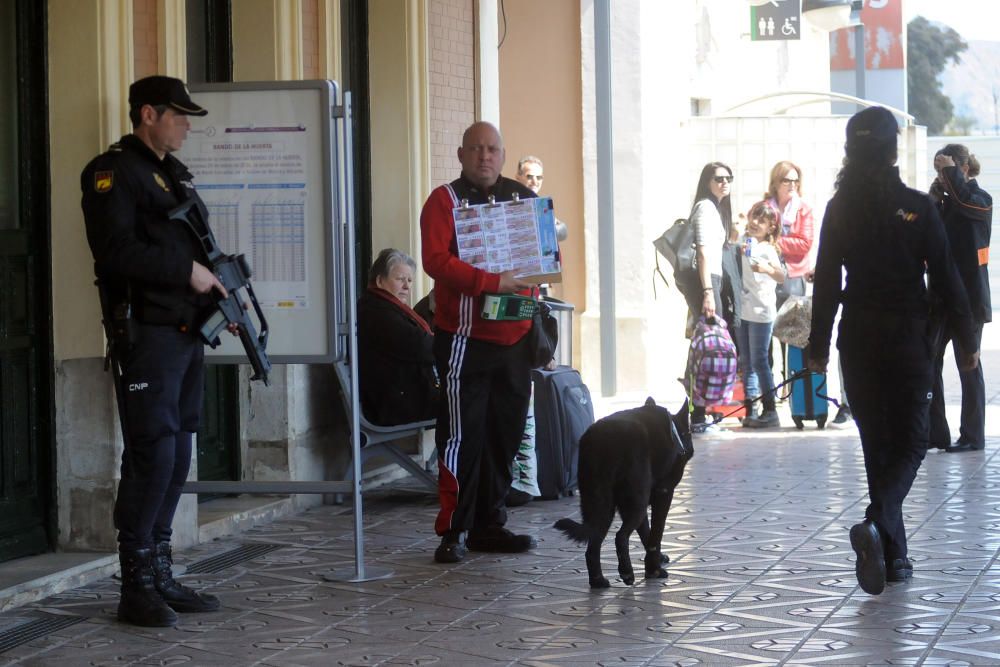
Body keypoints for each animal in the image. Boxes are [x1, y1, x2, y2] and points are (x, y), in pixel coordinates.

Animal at [552, 400, 692, 588]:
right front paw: (653, 570)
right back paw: (627, 572)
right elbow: (655, 535)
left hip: (603, 506)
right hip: (634, 502)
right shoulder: (663, 494)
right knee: (620, 536)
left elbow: (646, 533)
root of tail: (602, 439)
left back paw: (598, 580)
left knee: (593, 547)